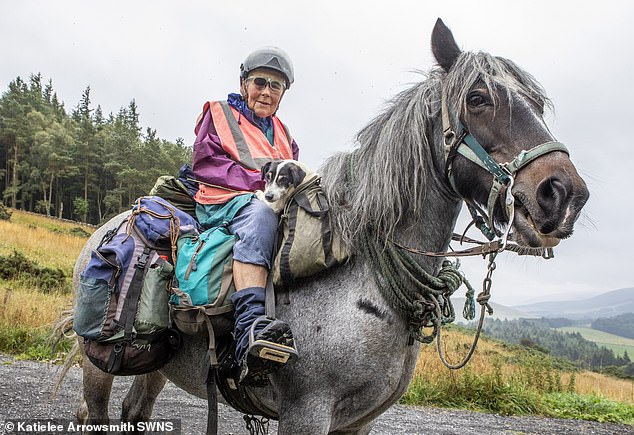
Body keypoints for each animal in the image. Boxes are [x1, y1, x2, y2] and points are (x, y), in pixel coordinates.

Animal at [69, 18, 588, 434]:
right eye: (478, 98)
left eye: (537, 103)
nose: (564, 195)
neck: (361, 276)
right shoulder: (307, 412)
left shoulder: (357, 422)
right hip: (98, 364)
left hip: (158, 366)